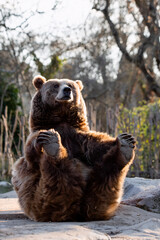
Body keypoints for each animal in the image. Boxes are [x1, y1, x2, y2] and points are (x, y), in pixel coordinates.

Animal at [11, 75, 136, 221]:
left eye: (70, 85)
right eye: (55, 85)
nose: (67, 90)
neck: (61, 119)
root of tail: (76, 211)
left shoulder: (79, 137)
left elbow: (97, 144)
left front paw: (124, 139)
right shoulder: (38, 136)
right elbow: (32, 154)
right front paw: (47, 138)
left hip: (98, 189)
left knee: (106, 177)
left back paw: (125, 147)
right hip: (37, 197)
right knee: (55, 180)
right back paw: (53, 146)